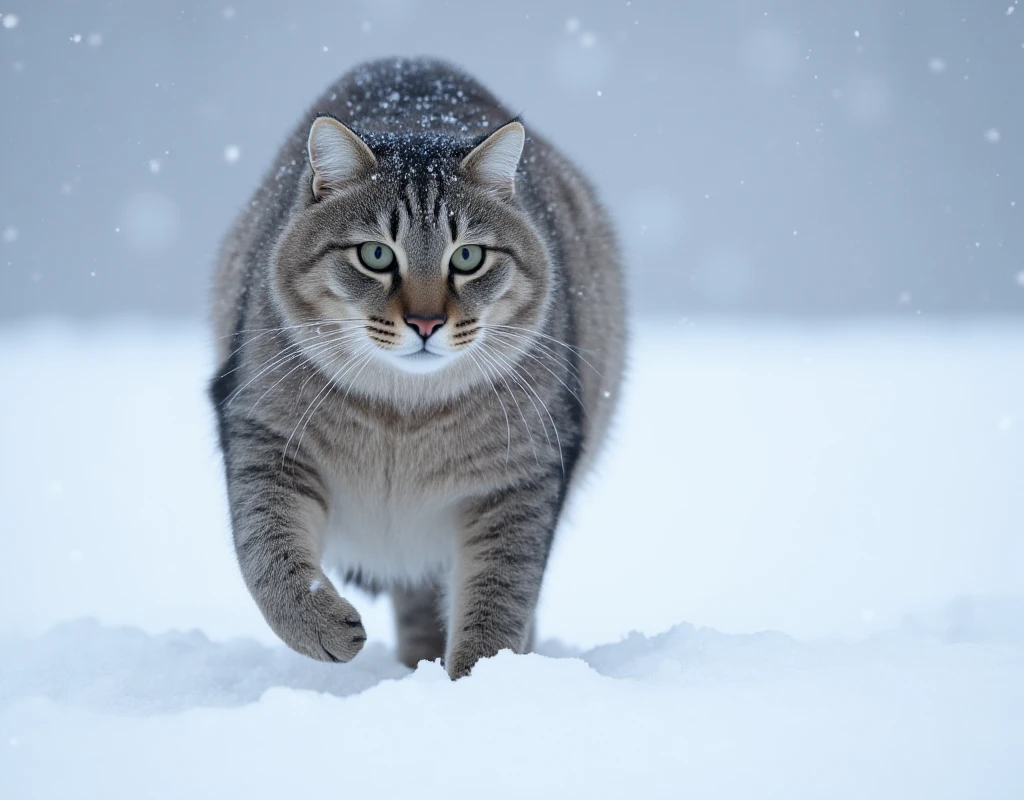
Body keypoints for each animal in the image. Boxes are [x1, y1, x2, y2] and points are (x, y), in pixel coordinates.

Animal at [207, 59, 622, 676]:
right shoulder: (261, 428)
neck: (403, 416)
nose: (426, 322)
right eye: (376, 254)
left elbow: (501, 597)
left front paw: (482, 680)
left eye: (468, 256)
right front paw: (318, 623)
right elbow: (266, 547)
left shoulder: (525, 473)